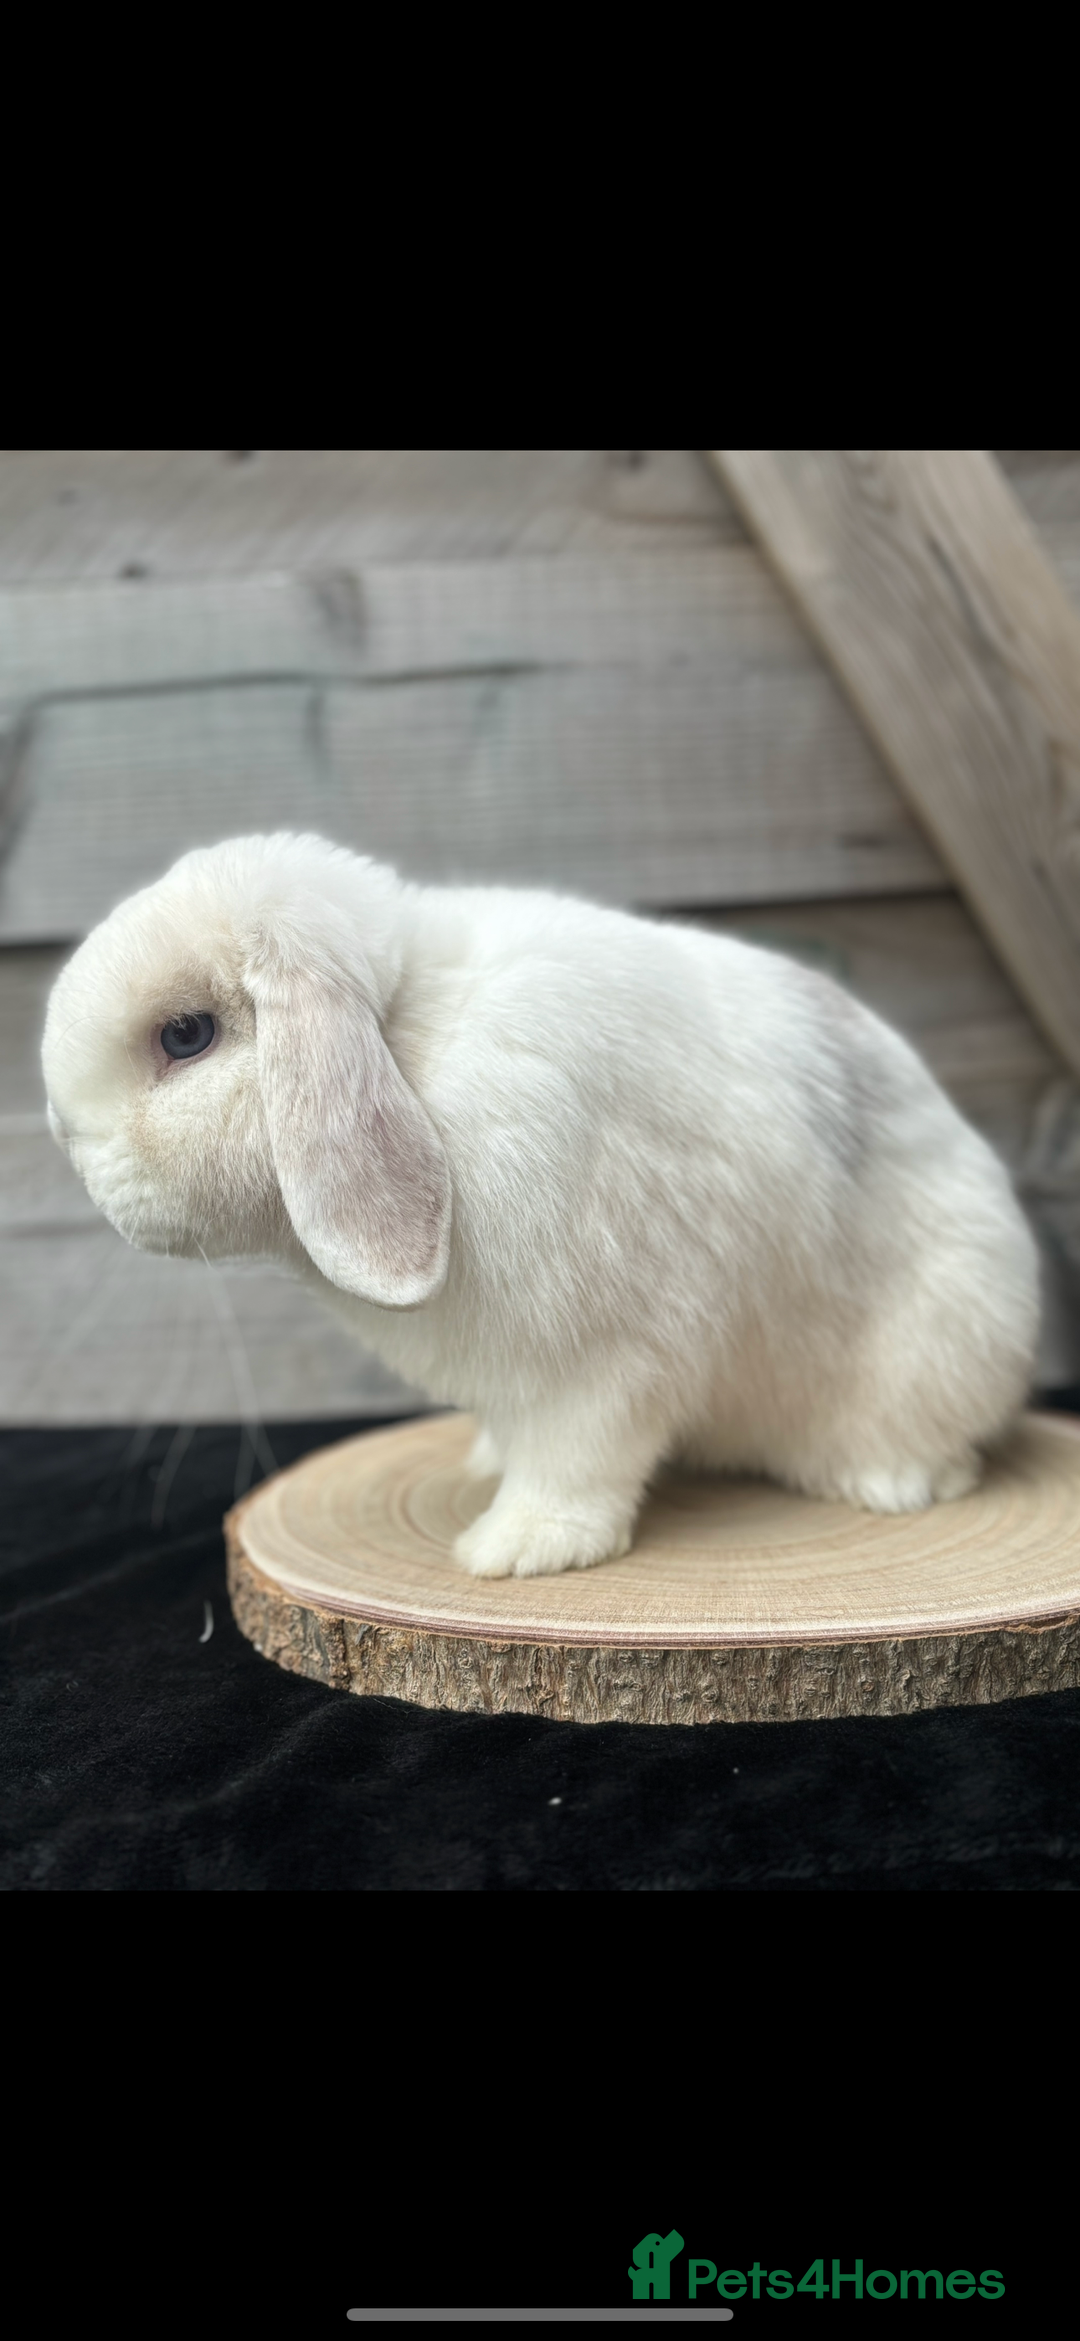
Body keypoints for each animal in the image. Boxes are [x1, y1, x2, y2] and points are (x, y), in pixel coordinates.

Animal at [41, 831, 1040, 1578]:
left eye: (185, 1035)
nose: (60, 1133)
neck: (411, 1048)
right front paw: (489, 1466)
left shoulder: (607, 1356)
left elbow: (575, 1460)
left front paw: (513, 1549)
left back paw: (892, 1479)